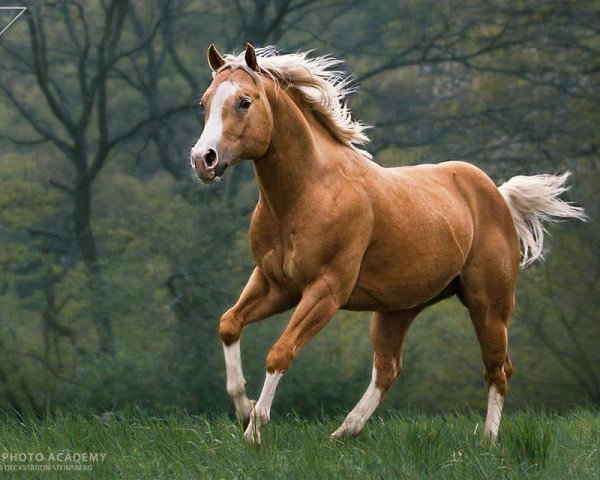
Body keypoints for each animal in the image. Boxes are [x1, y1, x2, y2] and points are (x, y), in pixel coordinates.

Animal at [189, 43, 584, 444]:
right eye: (204, 102)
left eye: (244, 102)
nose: (203, 160)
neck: (308, 193)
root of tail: (500, 197)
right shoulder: (275, 285)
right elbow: (229, 323)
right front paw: (244, 408)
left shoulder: (325, 291)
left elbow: (280, 352)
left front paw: (254, 429)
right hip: (398, 309)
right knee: (388, 369)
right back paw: (343, 432)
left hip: (488, 305)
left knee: (498, 370)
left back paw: (487, 441)